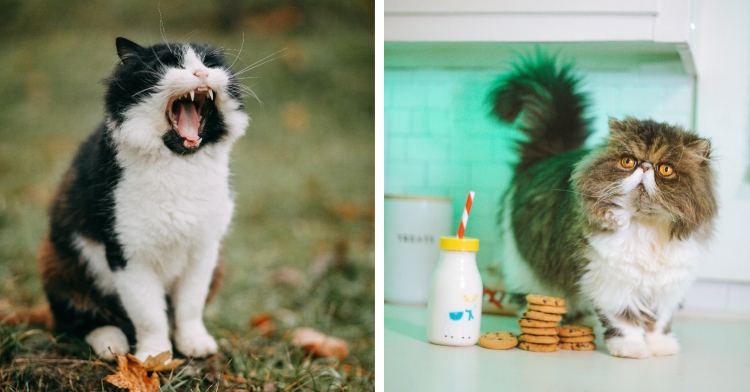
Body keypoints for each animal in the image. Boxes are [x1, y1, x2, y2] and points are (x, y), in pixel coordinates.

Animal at [39, 37, 250, 362]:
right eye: (170, 64)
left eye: (210, 64)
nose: (201, 73)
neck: (179, 165)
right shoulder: (128, 255)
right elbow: (149, 315)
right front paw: (154, 358)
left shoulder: (204, 251)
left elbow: (190, 306)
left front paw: (194, 344)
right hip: (58, 262)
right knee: (82, 318)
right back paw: (111, 344)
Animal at [490, 54, 720, 358]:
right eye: (628, 161)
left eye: (666, 169)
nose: (645, 166)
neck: (646, 227)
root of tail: (548, 155)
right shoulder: (610, 281)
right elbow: (625, 320)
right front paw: (632, 348)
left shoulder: (667, 286)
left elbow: (658, 322)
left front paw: (660, 347)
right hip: (528, 269)